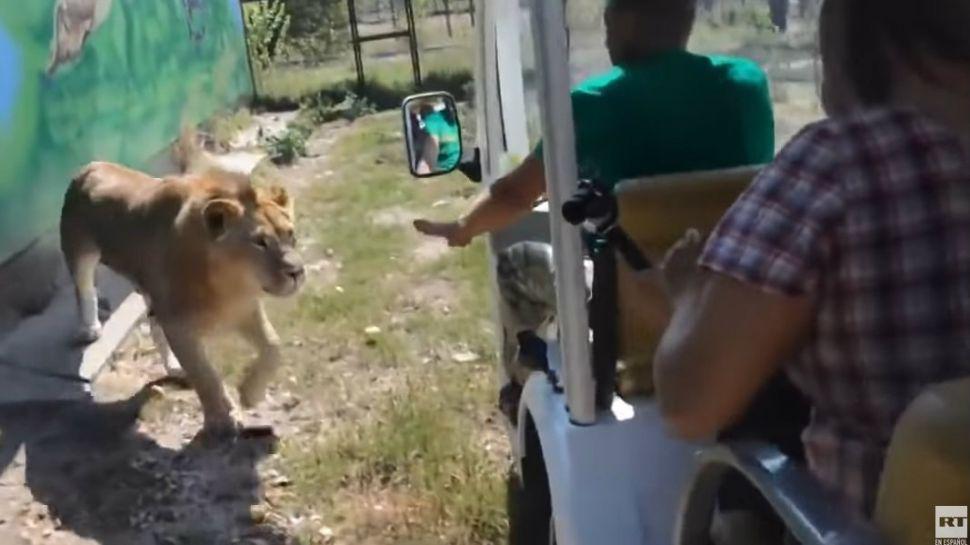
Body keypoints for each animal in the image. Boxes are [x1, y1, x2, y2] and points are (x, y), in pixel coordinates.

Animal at [60, 141, 302, 438]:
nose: (297, 272)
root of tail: (92, 165)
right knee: (84, 290)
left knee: (154, 325)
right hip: (79, 250)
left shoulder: (246, 309)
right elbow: (206, 376)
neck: (226, 285)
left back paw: (175, 368)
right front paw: (222, 419)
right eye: (260, 242)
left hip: (148, 287)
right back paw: (89, 329)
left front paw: (250, 394)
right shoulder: (179, 326)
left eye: (290, 234)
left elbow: (273, 346)